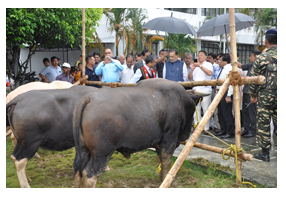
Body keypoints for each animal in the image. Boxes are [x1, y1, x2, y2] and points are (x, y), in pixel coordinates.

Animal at [71, 77, 206, 187]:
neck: (179, 100)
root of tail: (89, 98)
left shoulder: (159, 144)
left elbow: (162, 162)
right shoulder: (169, 140)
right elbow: (167, 162)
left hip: (84, 150)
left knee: (79, 173)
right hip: (101, 153)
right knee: (89, 175)